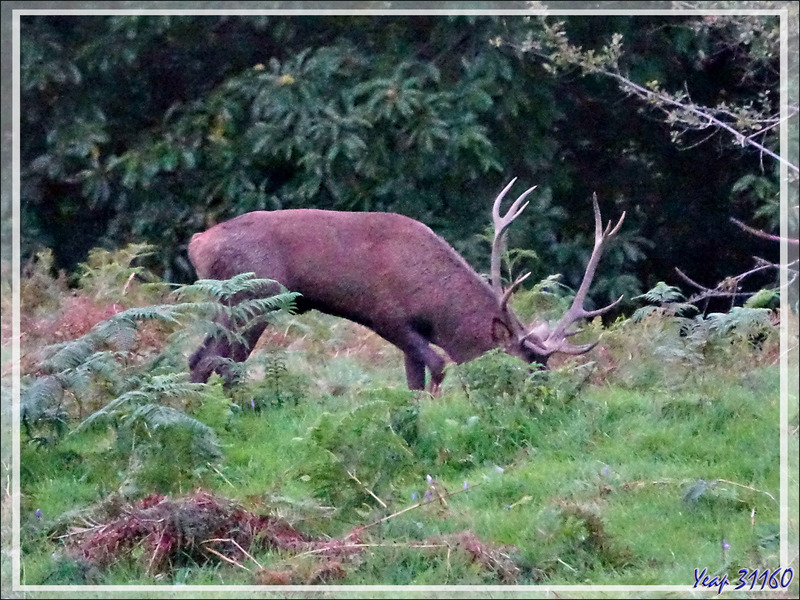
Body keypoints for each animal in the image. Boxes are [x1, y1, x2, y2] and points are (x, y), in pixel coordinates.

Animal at [186, 179, 624, 394]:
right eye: (522, 367)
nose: (544, 400)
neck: (431, 300)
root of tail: (197, 243)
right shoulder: (387, 316)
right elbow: (438, 366)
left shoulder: (410, 332)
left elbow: (414, 378)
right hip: (253, 297)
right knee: (220, 362)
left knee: (202, 359)